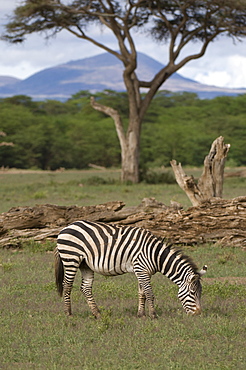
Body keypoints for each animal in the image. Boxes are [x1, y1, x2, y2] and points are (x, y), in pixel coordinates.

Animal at [54, 220, 208, 318]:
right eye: (193, 293)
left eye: (200, 293)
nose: (198, 314)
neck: (154, 255)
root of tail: (66, 227)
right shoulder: (142, 269)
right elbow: (150, 293)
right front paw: (153, 315)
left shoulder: (142, 272)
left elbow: (142, 293)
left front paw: (141, 315)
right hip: (71, 258)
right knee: (67, 285)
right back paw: (68, 313)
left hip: (85, 264)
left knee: (85, 288)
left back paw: (97, 314)